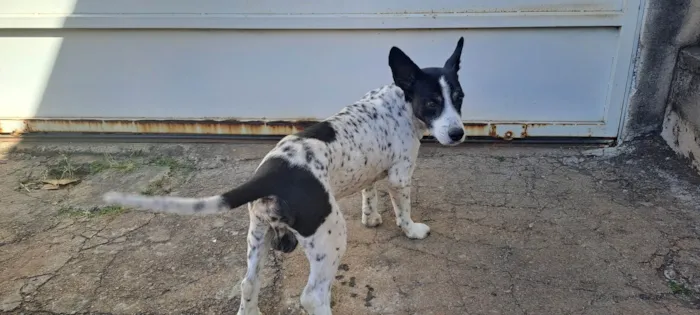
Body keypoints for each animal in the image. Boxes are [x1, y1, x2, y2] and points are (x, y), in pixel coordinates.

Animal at [102, 37, 464, 315]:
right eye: (432, 102)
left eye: (459, 98)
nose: (459, 133)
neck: (401, 102)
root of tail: (271, 173)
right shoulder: (401, 175)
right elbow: (403, 211)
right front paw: (412, 230)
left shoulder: (373, 168)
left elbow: (369, 191)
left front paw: (371, 217)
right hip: (329, 236)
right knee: (312, 296)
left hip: (258, 235)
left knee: (248, 282)